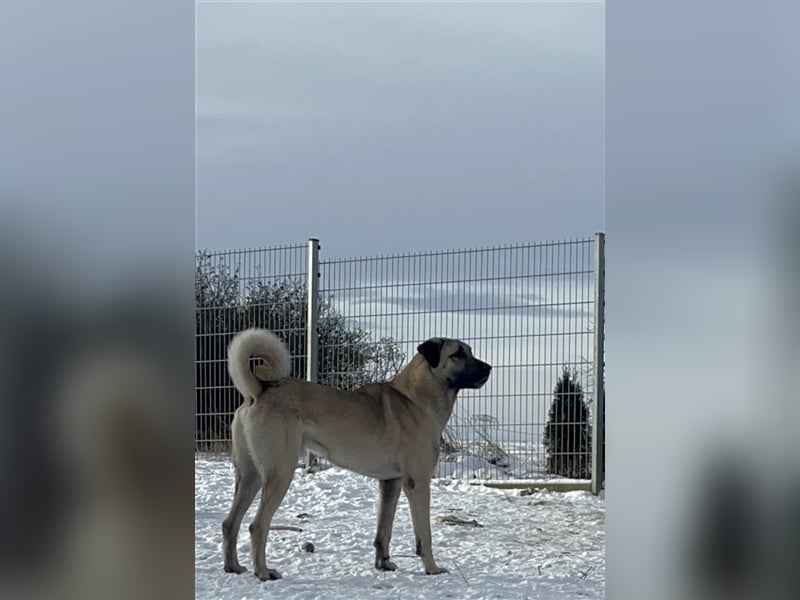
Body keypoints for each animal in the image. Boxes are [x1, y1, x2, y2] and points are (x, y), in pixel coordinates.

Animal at [222, 328, 490, 580]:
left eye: (469, 350)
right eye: (458, 354)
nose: (488, 367)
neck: (416, 399)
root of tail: (259, 391)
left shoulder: (390, 483)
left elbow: (384, 529)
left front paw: (383, 564)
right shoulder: (418, 483)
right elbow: (424, 534)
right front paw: (432, 568)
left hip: (249, 476)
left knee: (230, 522)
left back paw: (233, 567)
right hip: (279, 473)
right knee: (257, 525)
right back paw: (263, 572)